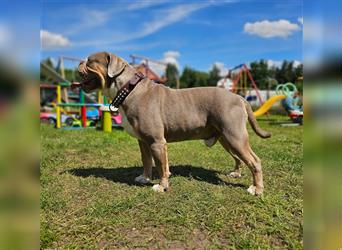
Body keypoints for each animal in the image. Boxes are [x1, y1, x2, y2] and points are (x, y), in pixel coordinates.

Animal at [77, 51, 270, 195]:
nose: (78, 62)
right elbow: (147, 161)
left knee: (255, 161)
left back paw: (256, 189)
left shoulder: (156, 142)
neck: (128, 88)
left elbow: (160, 166)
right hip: (226, 138)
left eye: (90, 60)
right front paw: (145, 178)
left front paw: (162, 186)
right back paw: (236, 173)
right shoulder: (144, 142)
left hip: (235, 136)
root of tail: (239, 97)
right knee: (238, 158)